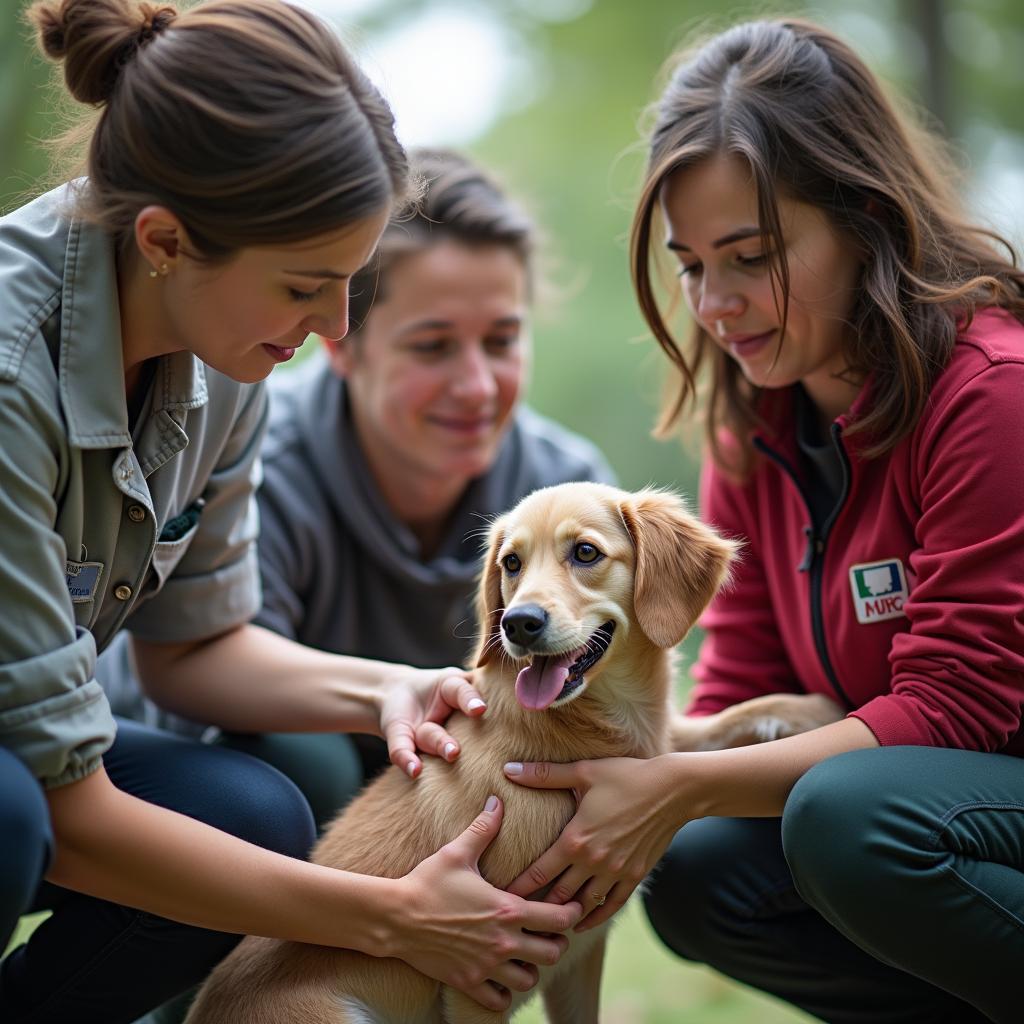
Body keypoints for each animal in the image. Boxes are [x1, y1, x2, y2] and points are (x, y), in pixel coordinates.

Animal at [184, 481, 839, 1024]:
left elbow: (705, 730)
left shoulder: (582, 959)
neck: (589, 724)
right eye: (512, 564)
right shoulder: (482, 978)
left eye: (585, 554)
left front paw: (813, 710)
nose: (518, 623)